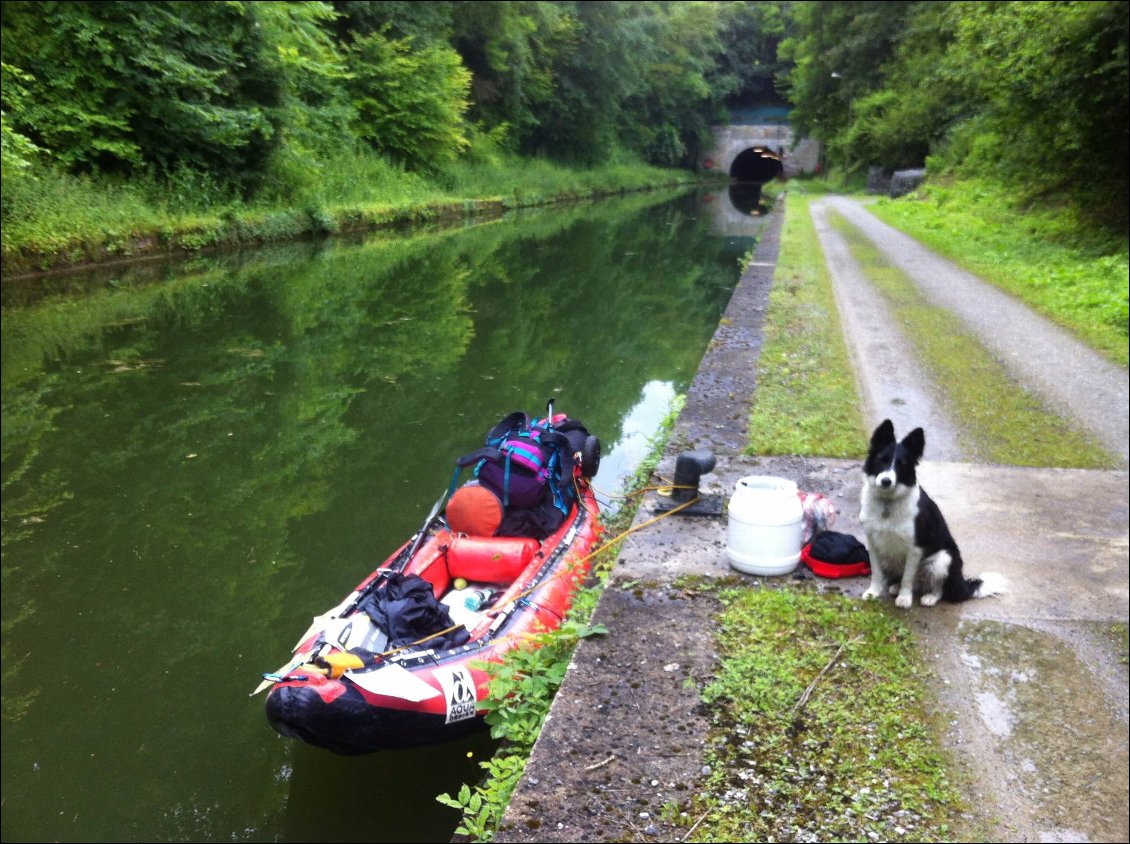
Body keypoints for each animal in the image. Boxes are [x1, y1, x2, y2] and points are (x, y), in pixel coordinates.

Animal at [854, 420, 1007, 605]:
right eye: (881, 460)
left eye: (901, 465)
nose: (886, 481)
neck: (887, 502)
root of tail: (963, 586)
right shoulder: (873, 542)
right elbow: (876, 573)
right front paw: (873, 592)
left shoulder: (915, 548)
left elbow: (907, 577)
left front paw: (904, 599)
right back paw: (896, 587)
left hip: (944, 558)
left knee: (939, 587)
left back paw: (931, 597)